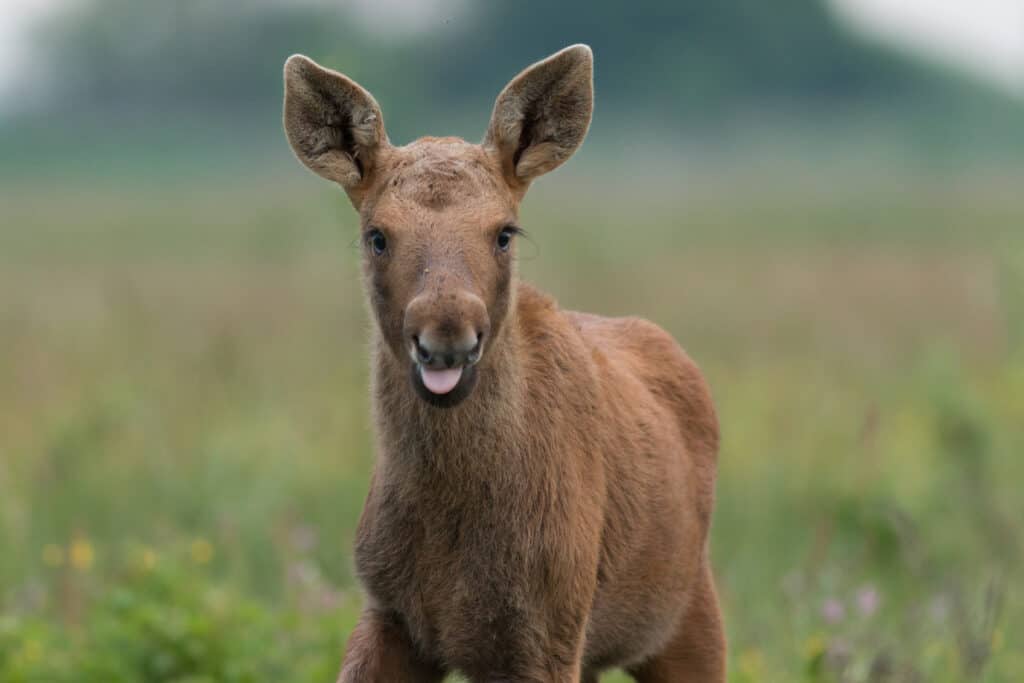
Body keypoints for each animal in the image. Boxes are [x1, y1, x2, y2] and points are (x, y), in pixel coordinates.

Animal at [283, 44, 724, 683]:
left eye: (504, 232)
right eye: (377, 235)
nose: (447, 334)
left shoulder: (545, 630)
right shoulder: (389, 611)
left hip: (689, 613)